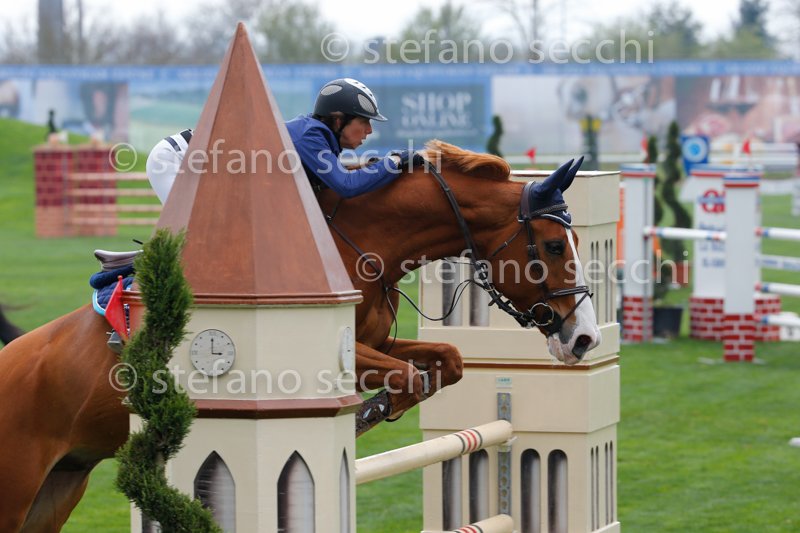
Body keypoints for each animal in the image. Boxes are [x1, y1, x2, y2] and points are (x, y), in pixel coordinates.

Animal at [0, 140, 600, 531]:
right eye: (552, 246)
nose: (583, 340)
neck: (362, 244)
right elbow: (407, 375)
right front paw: (366, 415)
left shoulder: (377, 344)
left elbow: (443, 361)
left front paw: (379, 409)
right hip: (19, 487)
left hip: (59, 487)